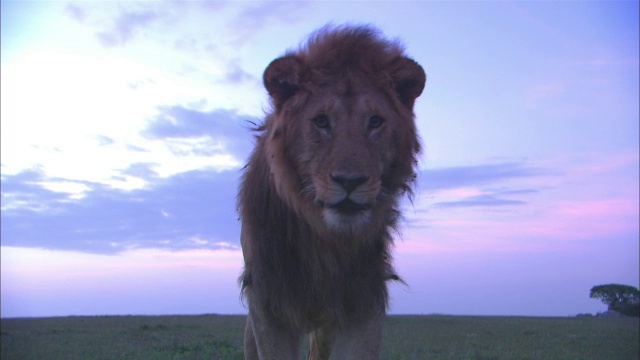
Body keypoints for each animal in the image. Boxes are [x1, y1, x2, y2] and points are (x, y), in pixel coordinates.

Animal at [239, 23, 424, 358]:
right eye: (321, 121)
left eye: (375, 121)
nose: (350, 181)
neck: (324, 238)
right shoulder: (268, 303)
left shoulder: (363, 302)